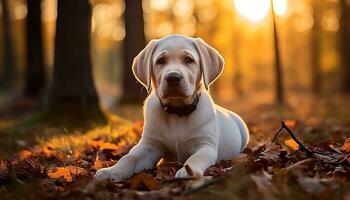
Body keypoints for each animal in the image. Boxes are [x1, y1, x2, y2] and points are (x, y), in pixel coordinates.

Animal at [95, 34, 249, 181]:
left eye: (189, 60)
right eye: (160, 61)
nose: (173, 77)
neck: (177, 111)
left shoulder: (206, 145)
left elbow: (196, 157)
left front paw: (188, 171)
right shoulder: (149, 146)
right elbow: (129, 157)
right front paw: (111, 170)